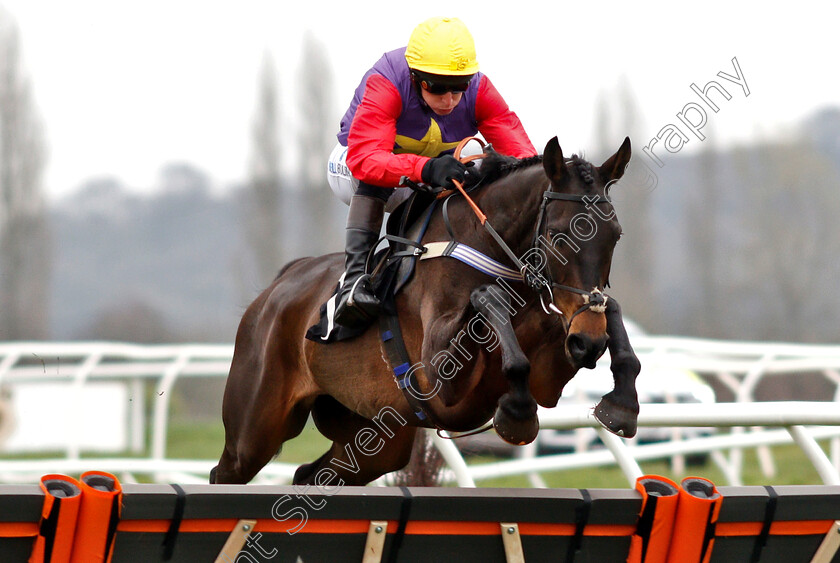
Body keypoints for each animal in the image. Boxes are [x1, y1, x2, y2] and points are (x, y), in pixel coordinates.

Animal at [212, 135, 644, 484]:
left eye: (616, 235)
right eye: (556, 235)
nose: (589, 341)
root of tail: (279, 284)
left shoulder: (550, 371)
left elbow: (611, 311)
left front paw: (621, 403)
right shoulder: (441, 379)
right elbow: (488, 299)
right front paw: (517, 412)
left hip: (376, 438)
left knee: (313, 475)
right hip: (255, 429)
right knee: (226, 472)